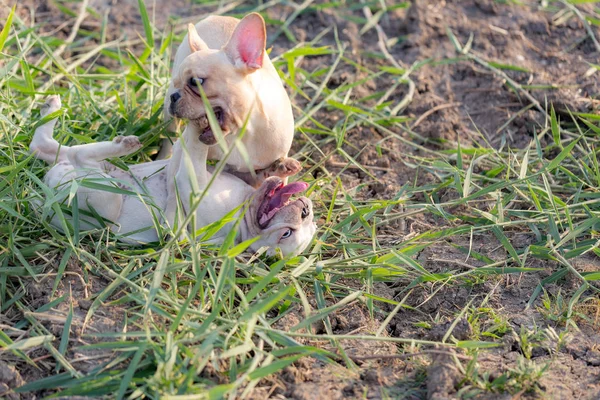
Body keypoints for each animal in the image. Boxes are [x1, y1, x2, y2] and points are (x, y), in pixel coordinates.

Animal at [31, 97, 318, 256]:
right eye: (312, 224)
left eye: (286, 235)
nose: (305, 210)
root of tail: (43, 194)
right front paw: (281, 167)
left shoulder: (193, 185)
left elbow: (193, 154)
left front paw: (200, 128)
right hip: (92, 171)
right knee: (52, 148)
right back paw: (53, 109)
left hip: (102, 198)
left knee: (72, 155)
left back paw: (125, 145)